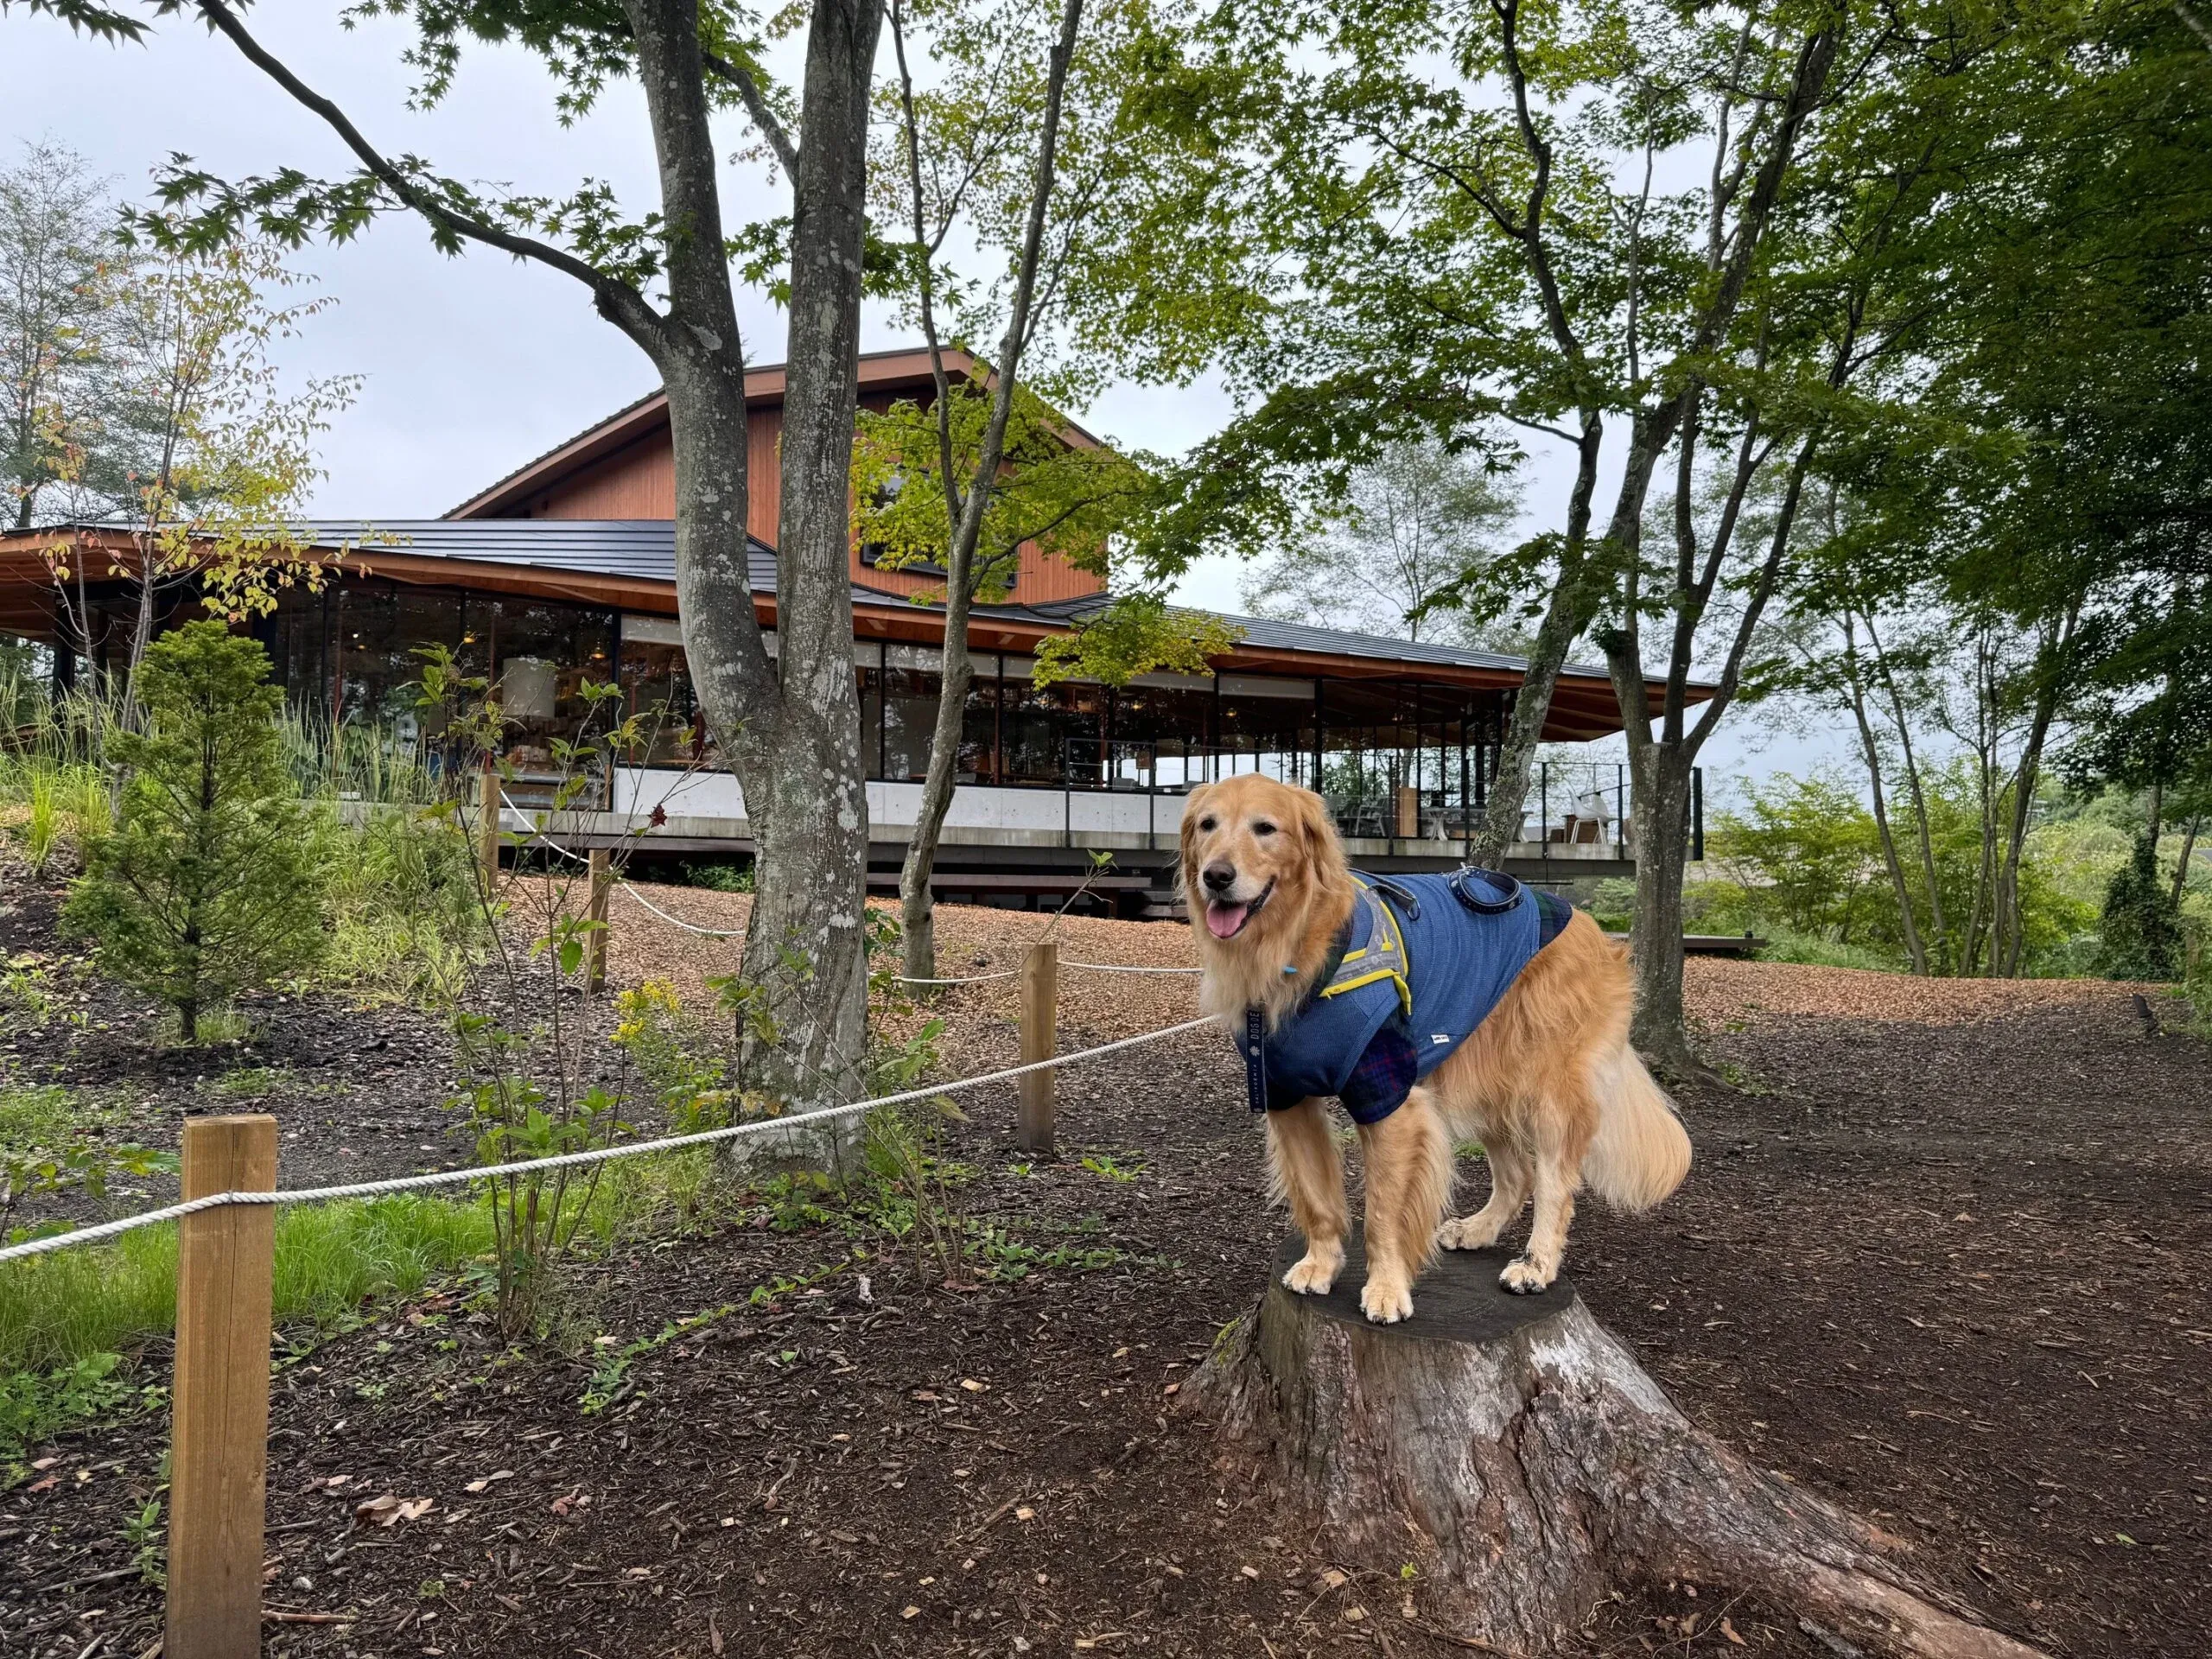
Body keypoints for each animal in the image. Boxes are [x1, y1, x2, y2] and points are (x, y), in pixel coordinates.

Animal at [1185, 779, 1681, 1327]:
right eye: (1207, 825)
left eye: (1265, 828)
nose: (1216, 876)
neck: (1298, 946)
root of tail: (1587, 925)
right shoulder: (1288, 1094)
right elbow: (1317, 1197)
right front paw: (1321, 1264)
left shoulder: (1389, 1098)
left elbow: (1383, 1211)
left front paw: (1386, 1288)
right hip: (1479, 1076)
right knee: (1517, 1174)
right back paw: (1478, 1230)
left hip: (1548, 1089)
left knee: (1554, 1182)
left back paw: (1535, 1266)